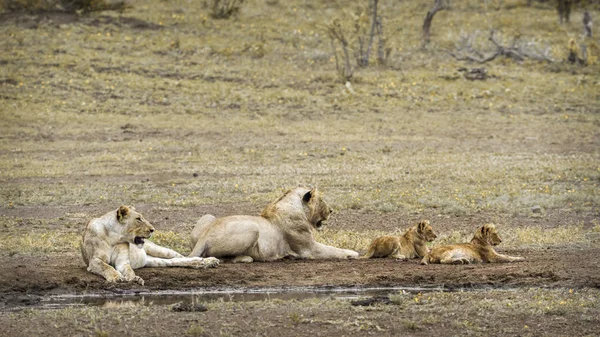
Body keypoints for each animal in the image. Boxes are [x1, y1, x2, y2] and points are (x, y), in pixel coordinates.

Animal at [81, 205, 219, 284]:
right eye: (138, 219)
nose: (152, 229)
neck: (115, 237)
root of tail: (146, 258)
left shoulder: (122, 262)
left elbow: (129, 270)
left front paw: (134, 278)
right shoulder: (94, 261)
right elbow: (106, 267)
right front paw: (116, 277)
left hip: (158, 249)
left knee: (182, 257)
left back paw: (208, 261)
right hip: (154, 261)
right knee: (174, 261)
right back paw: (203, 263)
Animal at [189, 186, 356, 262]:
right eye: (321, 200)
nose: (331, 210)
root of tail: (204, 237)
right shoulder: (309, 249)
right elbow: (333, 250)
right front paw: (352, 253)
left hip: (208, 216)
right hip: (253, 228)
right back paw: (247, 258)